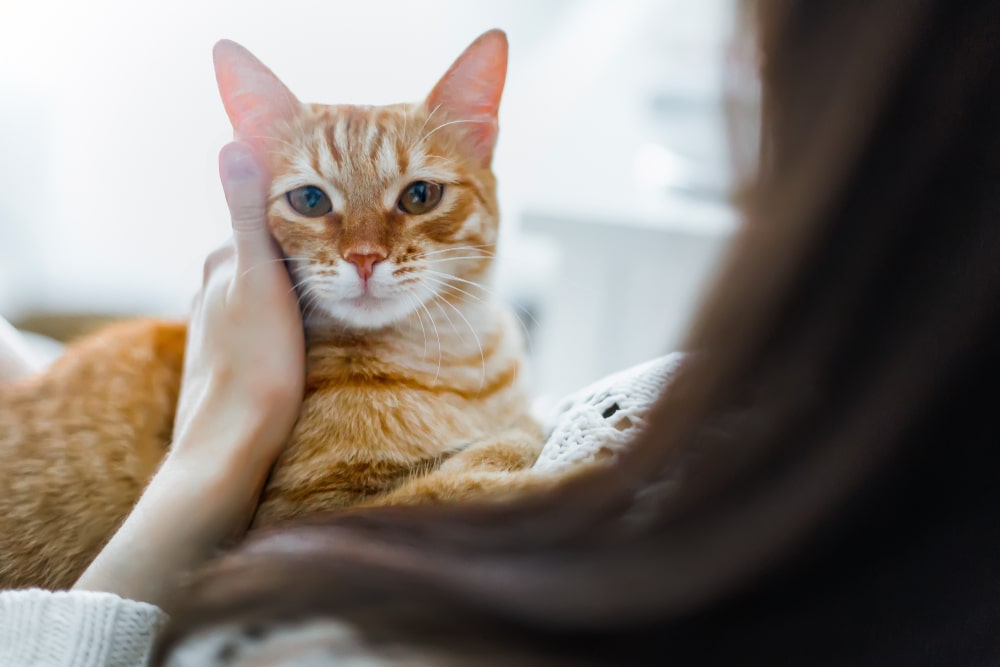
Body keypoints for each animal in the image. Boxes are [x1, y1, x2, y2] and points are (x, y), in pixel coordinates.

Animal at [0, 31, 548, 592]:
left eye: (420, 195)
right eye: (310, 200)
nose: (364, 258)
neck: (450, 363)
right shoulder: (294, 526)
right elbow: (456, 486)